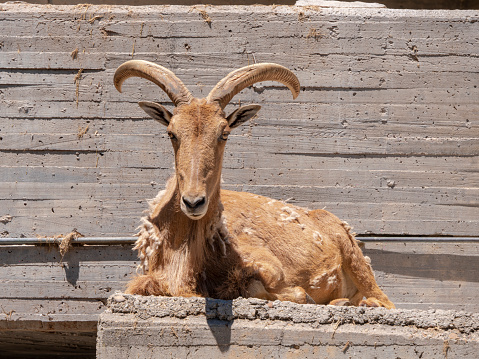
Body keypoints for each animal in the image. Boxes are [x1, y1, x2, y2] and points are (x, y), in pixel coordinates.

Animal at [114, 59, 396, 310]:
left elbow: (265, 287)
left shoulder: (267, 264)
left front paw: (304, 296)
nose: (193, 202)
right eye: (171, 133)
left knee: (384, 300)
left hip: (353, 255)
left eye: (224, 133)